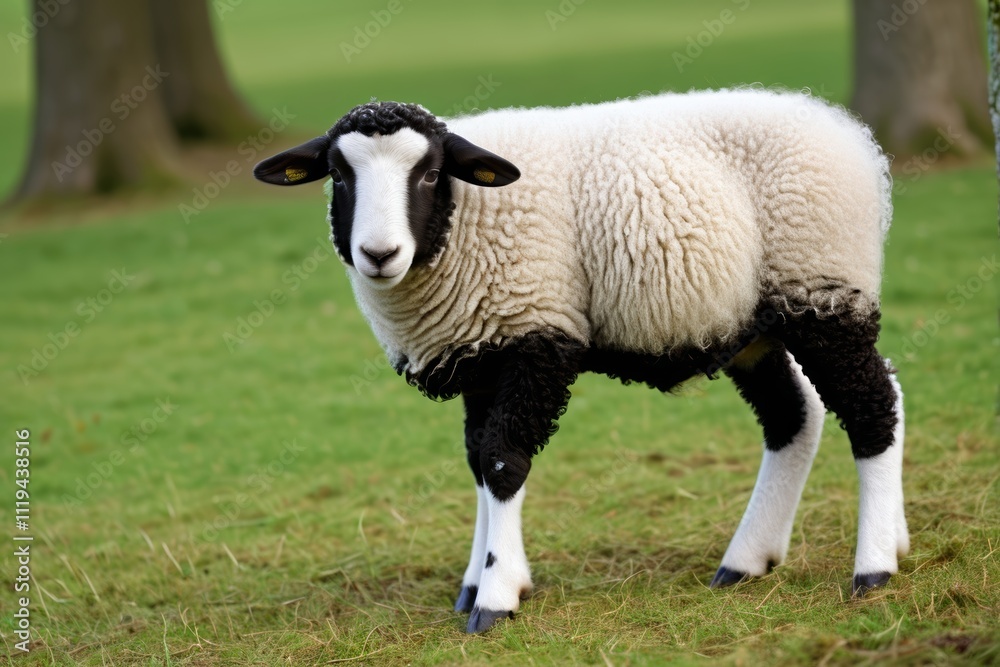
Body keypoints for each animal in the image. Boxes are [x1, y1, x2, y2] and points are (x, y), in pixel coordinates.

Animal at [253, 89, 908, 634]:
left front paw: (496, 596)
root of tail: (846, 129)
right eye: (339, 175)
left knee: (872, 408)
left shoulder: (537, 336)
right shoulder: (483, 356)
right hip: (755, 326)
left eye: (433, 172)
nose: (379, 254)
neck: (466, 218)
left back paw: (874, 567)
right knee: (799, 416)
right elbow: (475, 463)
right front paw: (475, 582)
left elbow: (502, 463)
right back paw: (754, 560)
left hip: (823, 288)